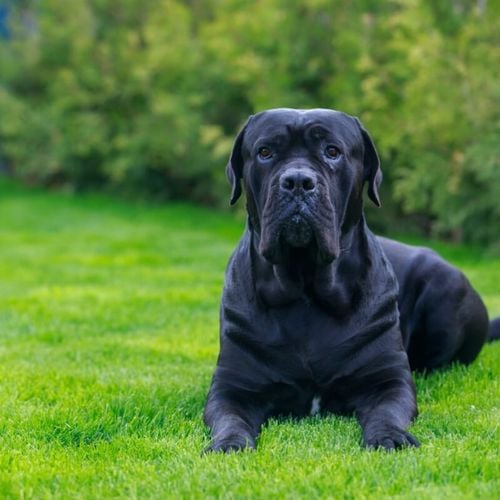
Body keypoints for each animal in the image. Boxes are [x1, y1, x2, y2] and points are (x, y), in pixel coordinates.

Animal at [204, 107, 500, 452]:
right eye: (265, 152)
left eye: (332, 152)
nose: (298, 181)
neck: (306, 291)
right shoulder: (233, 386)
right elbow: (229, 418)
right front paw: (229, 444)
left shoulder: (387, 380)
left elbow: (387, 411)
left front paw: (390, 437)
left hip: (446, 290)